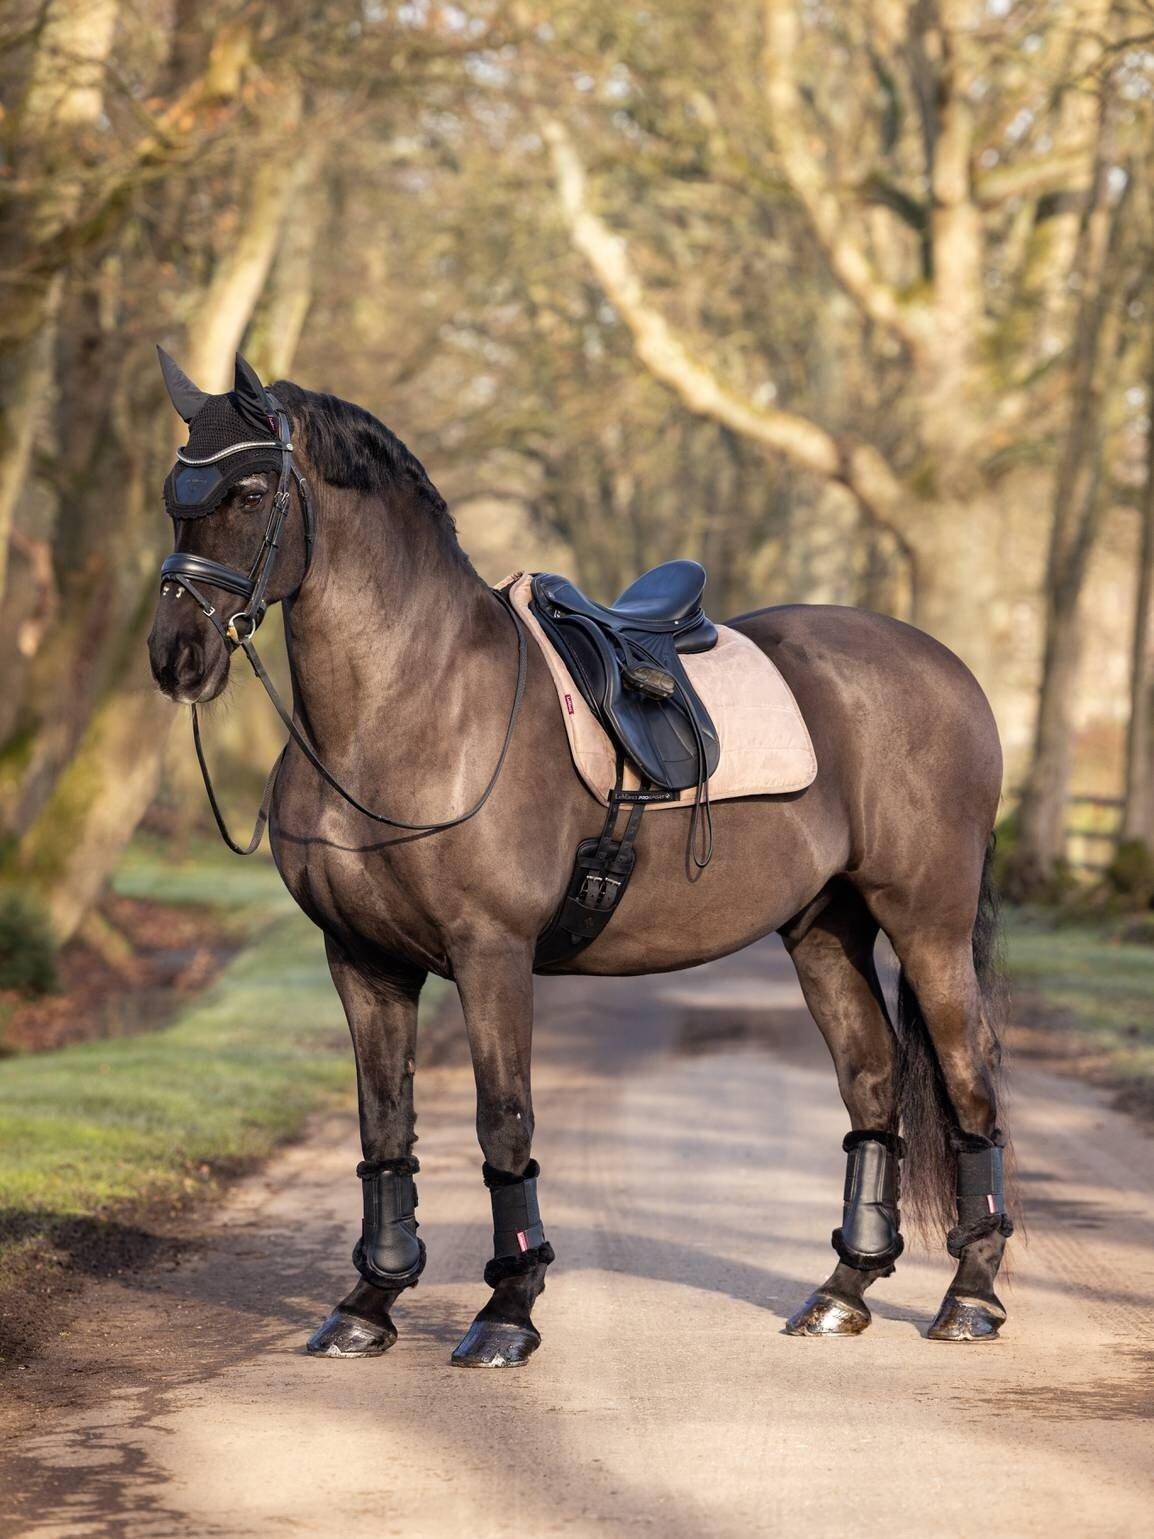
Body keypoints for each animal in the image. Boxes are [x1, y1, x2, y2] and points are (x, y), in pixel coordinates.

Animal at [147, 352, 1012, 1367]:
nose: (176, 656)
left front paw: (507, 1309)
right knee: (873, 1080)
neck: (412, 707)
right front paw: (368, 1302)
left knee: (969, 1080)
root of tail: (949, 671)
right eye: (172, 493)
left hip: (926, 923)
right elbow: (385, 1124)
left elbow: (502, 1120)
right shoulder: (362, 960)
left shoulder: (492, 953)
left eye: (249, 492)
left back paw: (971, 1297)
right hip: (825, 928)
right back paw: (842, 1291)